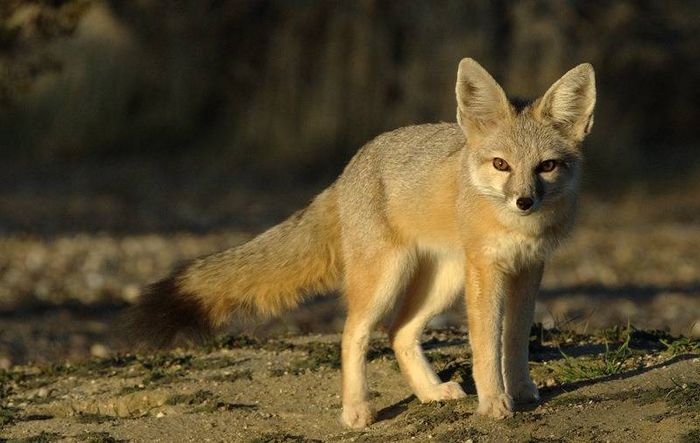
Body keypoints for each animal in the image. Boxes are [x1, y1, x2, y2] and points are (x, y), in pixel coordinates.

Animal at [130, 59, 596, 430]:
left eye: (546, 167)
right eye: (501, 164)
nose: (524, 201)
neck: (520, 230)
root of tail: (348, 168)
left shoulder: (529, 269)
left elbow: (514, 340)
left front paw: (522, 392)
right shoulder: (487, 270)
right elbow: (486, 346)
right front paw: (495, 402)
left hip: (441, 281)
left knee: (398, 333)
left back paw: (430, 393)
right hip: (388, 280)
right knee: (353, 333)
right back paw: (357, 410)